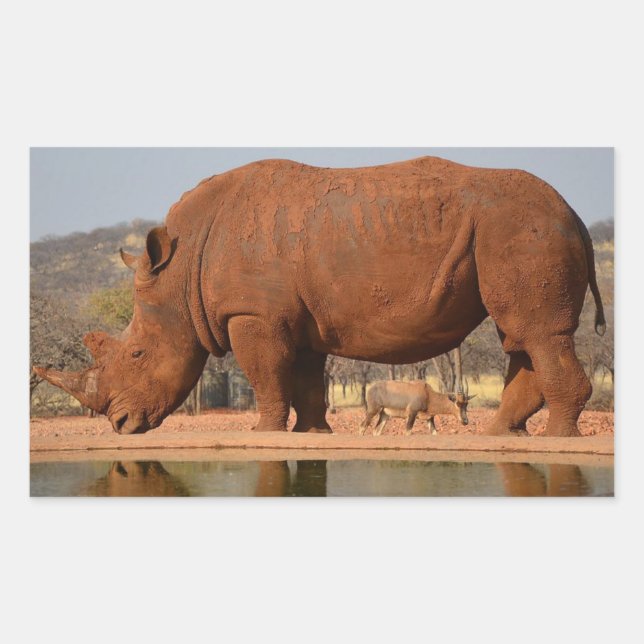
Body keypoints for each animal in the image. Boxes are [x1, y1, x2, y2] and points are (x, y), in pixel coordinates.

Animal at [34, 156, 605, 437]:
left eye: (136, 354)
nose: (120, 426)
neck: (181, 266)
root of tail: (576, 215)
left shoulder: (253, 313)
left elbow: (266, 376)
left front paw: (264, 432)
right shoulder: (295, 318)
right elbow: (306, 378)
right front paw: (315, 432)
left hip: (523, 230)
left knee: (539, 334)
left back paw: (556, 440)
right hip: (514, 232)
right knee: (521, 337)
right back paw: (503, 437)